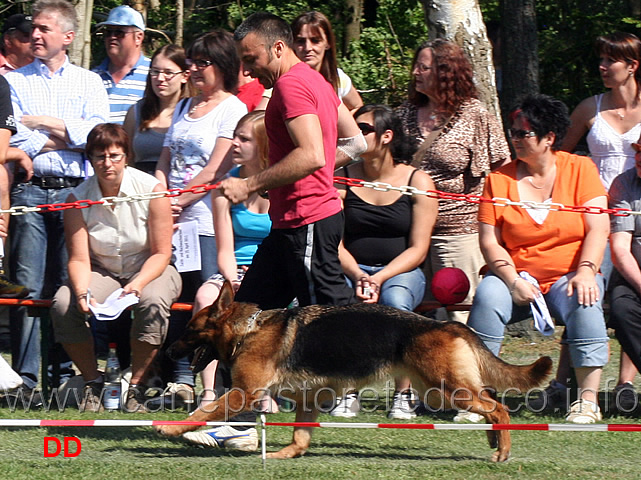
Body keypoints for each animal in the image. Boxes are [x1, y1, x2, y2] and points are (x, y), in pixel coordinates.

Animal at [155, 282, 552, 462]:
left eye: (189, 331)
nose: (167, 352)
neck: (248, 330)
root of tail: (449, 324)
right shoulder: (307, 400)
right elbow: (300, 436)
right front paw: (285, 455)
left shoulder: (242, 394)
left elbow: (203, 411)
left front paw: (170, 428)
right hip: (442, 390)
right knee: (490, 402)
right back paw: (493, 440)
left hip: (444, 389)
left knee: (499, 407)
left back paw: (502, 449)